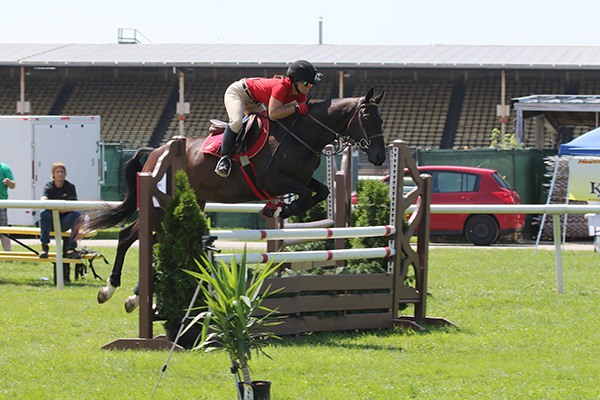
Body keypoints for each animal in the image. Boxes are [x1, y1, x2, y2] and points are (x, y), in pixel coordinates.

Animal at [86, 86, 386, 306]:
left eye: (381, 118)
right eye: (367, 118)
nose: (380, 158)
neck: (300, 134)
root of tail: (157, 152)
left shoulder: (300, 178)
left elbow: (320, 191)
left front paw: (280, 209)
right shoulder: (271, 179)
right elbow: (302, 195)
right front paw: (282, 209)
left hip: (187, 204)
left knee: (148, 238)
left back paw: (133, 294)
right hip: (162, 206)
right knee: (129, 236)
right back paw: (110, 289)